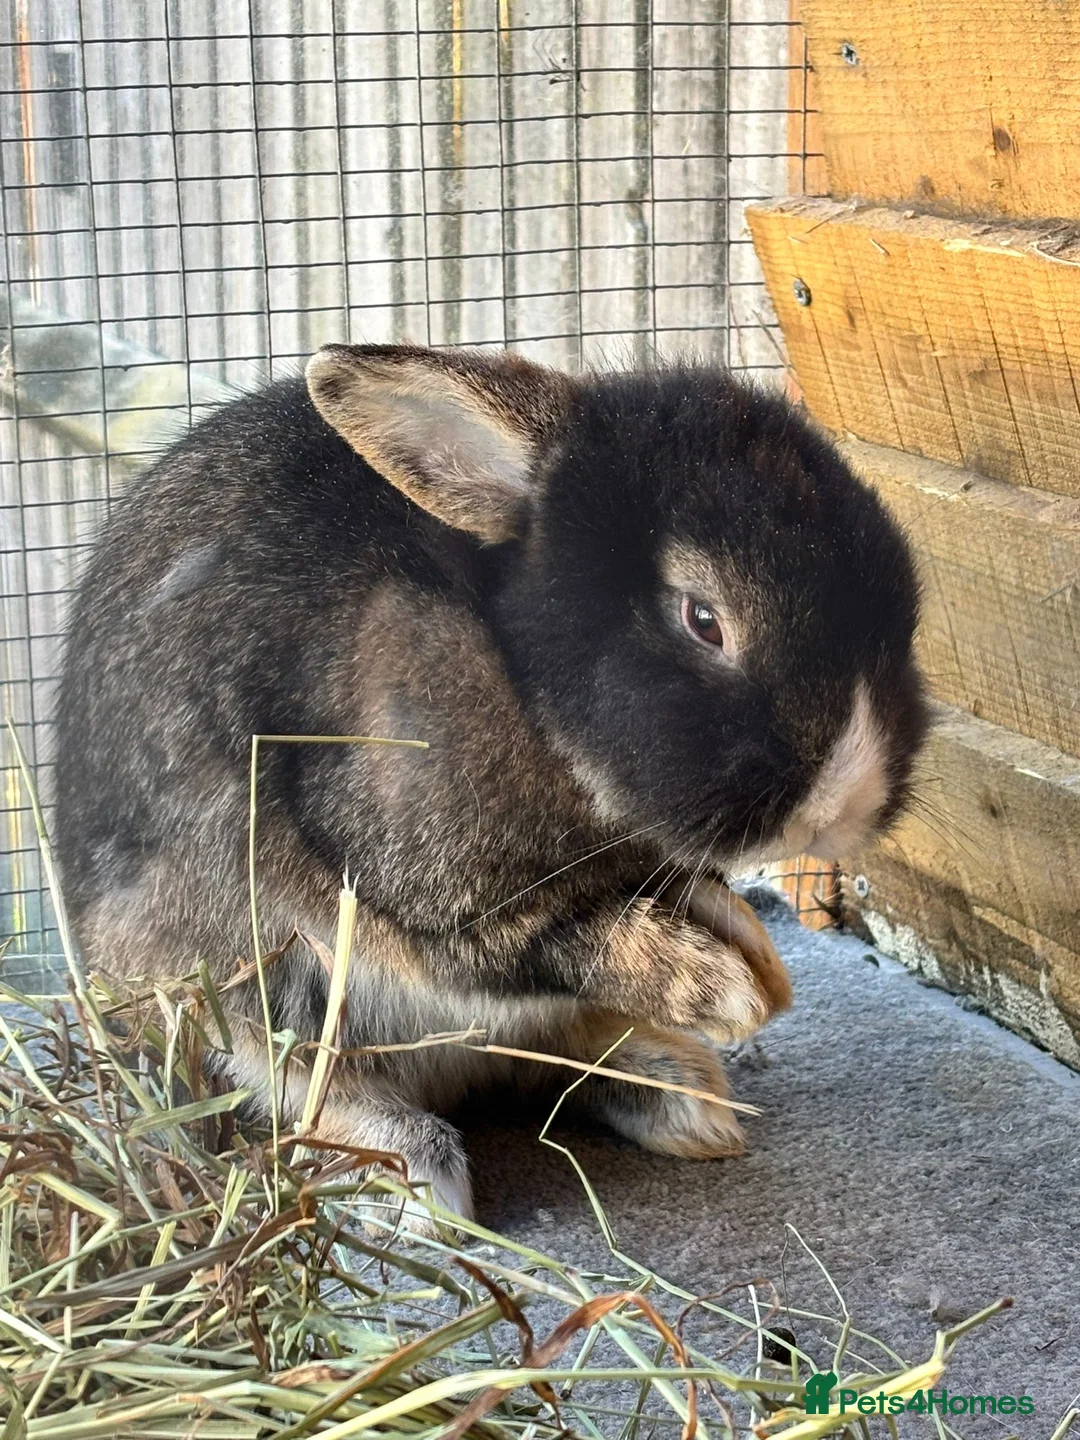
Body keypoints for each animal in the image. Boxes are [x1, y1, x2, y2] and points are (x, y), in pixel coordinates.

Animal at [53, 343, 928, 1232]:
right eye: (703, 619)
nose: (843, 806)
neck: (523, 681)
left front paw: (755, 956)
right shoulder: (431, 895)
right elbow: (563, 939)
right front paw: (724, 991)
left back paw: (683, 1098)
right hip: (235, 972)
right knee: (295, 1077)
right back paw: (416, 1171)